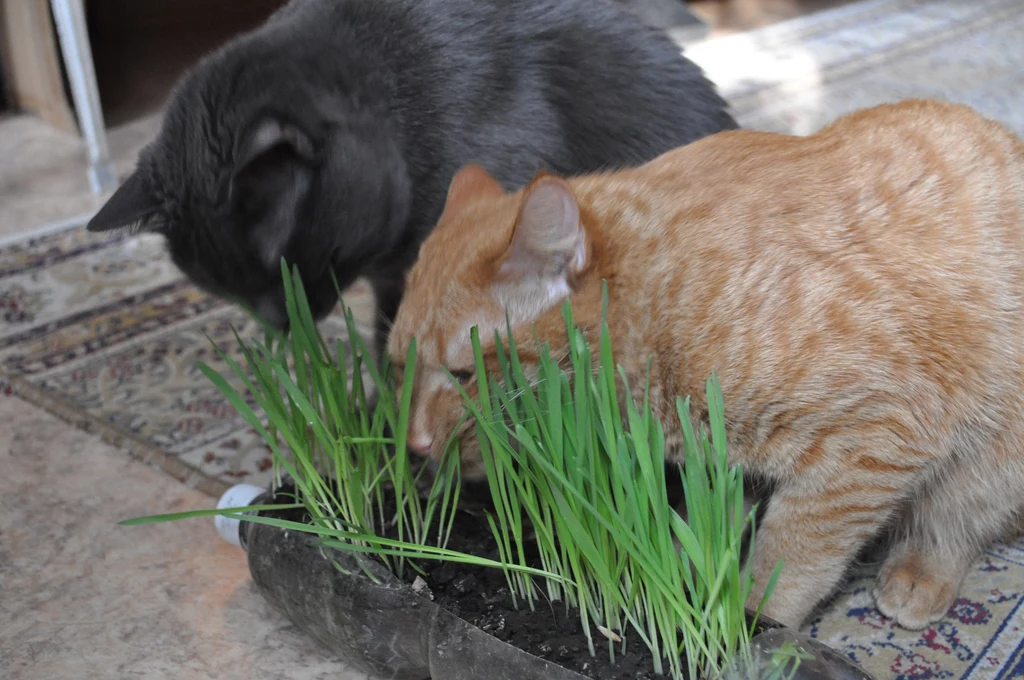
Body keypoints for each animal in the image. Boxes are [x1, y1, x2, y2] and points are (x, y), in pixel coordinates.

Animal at [385, 100, 1024, 630]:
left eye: (463, 375)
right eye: (397, 369)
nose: (414, 442)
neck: (665, 295)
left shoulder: (879, 434)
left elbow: (792, 556)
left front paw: (747, 624)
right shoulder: (725, 460)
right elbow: (706, 524)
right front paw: (679, 575)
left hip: (994, 458)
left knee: (958, 519)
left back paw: (921, 573)